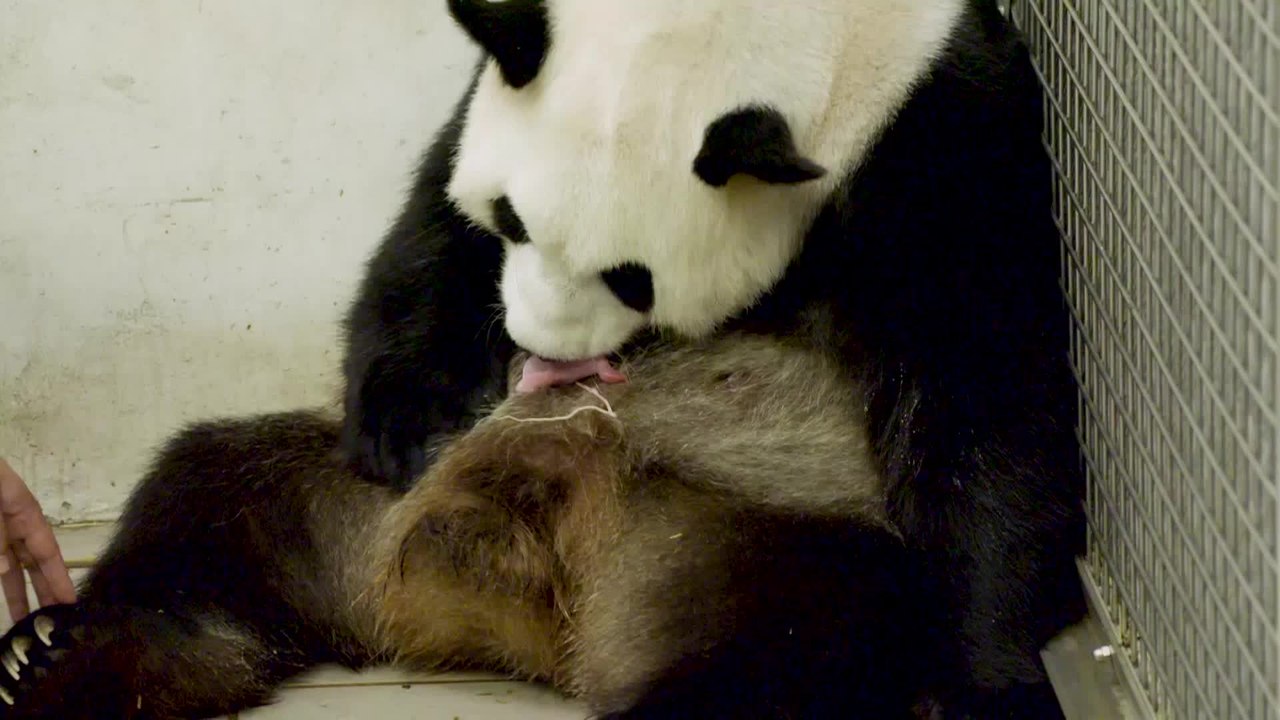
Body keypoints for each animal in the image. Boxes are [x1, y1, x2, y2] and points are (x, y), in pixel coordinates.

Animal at [340, 0, 1086, 715]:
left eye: (631, 280)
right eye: (509, 218)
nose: (541, 351)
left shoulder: (942, 131)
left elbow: (985, 382)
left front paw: (987, 677)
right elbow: (436, 229)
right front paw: (408, 426)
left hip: (764, 537)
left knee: (787, 647)